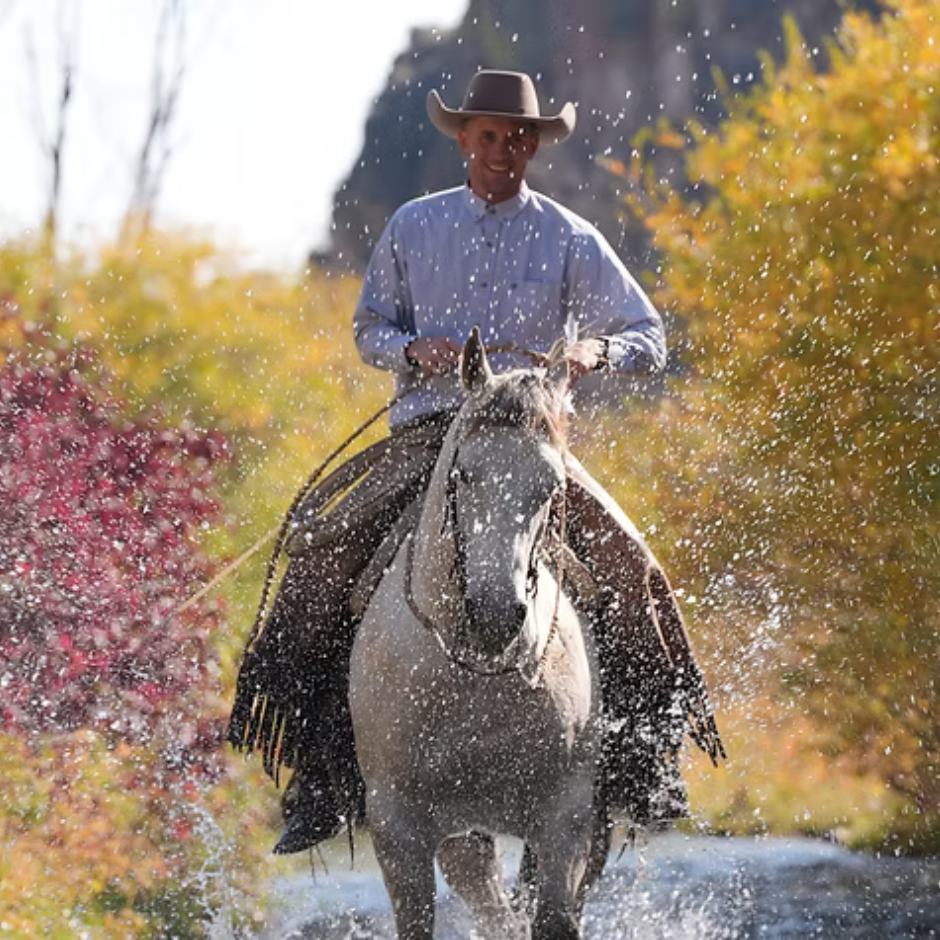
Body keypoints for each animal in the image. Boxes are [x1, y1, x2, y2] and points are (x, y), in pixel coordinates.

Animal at [349, 327, 609, 939]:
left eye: (551, 485)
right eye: (463, 473)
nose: (494, 613)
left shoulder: (567, 818)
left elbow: (555, 918)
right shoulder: (397, 828)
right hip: (461, 836)